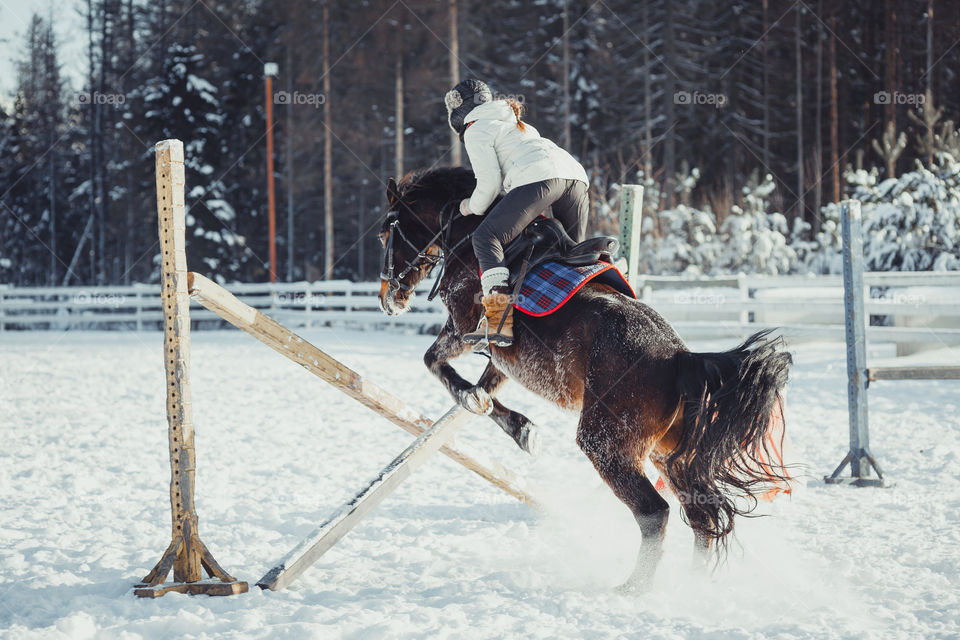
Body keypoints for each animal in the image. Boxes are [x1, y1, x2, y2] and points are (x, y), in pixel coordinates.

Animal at [378, 166, 792, 592]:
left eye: (384, 233)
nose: (389, 299)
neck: (464, 232)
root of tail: (679, 357)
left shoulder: (464, 330)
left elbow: (435, 363)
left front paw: (474, 401)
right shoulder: (506, 357)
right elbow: (487, 389)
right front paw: (520, 428)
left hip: (605, 444)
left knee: (654, 512)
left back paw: (633, 589)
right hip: (669, 454)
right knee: (703, 514)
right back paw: (692, 584)